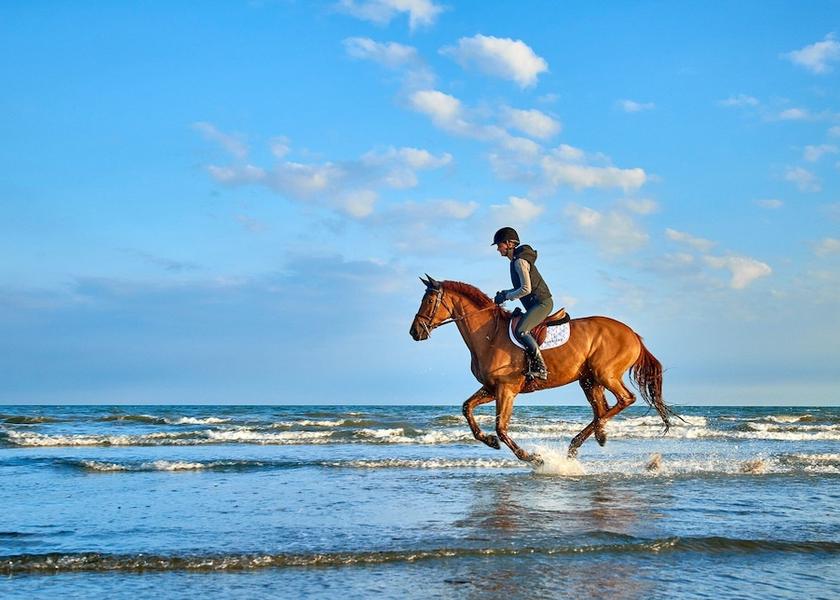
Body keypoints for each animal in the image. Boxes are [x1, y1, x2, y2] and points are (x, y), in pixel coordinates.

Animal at [409, 276, 676, 463]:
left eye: (429, 301)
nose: (415, 332)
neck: (489, 334)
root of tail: (634, 335)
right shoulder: (491, 388)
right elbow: (467, 408)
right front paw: (489, 441)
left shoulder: (506, 389)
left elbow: (501, 428)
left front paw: (533, 458)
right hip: (589, 380)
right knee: (602, 408)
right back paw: (593, 437)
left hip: (605, 374)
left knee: (624, 400)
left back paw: (584, 439)